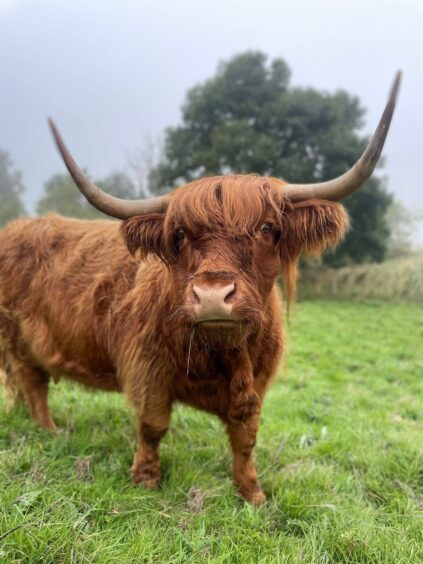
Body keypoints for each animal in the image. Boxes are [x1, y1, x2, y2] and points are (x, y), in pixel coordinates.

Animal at [0, 71, 402, 502]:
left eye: (267, 228)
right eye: (178, 235)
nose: (212, 296)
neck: (222, 354)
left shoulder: (256, 384)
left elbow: (246, 438)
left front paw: (252, 493)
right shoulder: (148, 371)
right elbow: (153, 426)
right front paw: (146, 480)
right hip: (19, 340)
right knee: (34, 385)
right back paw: (51, 432)